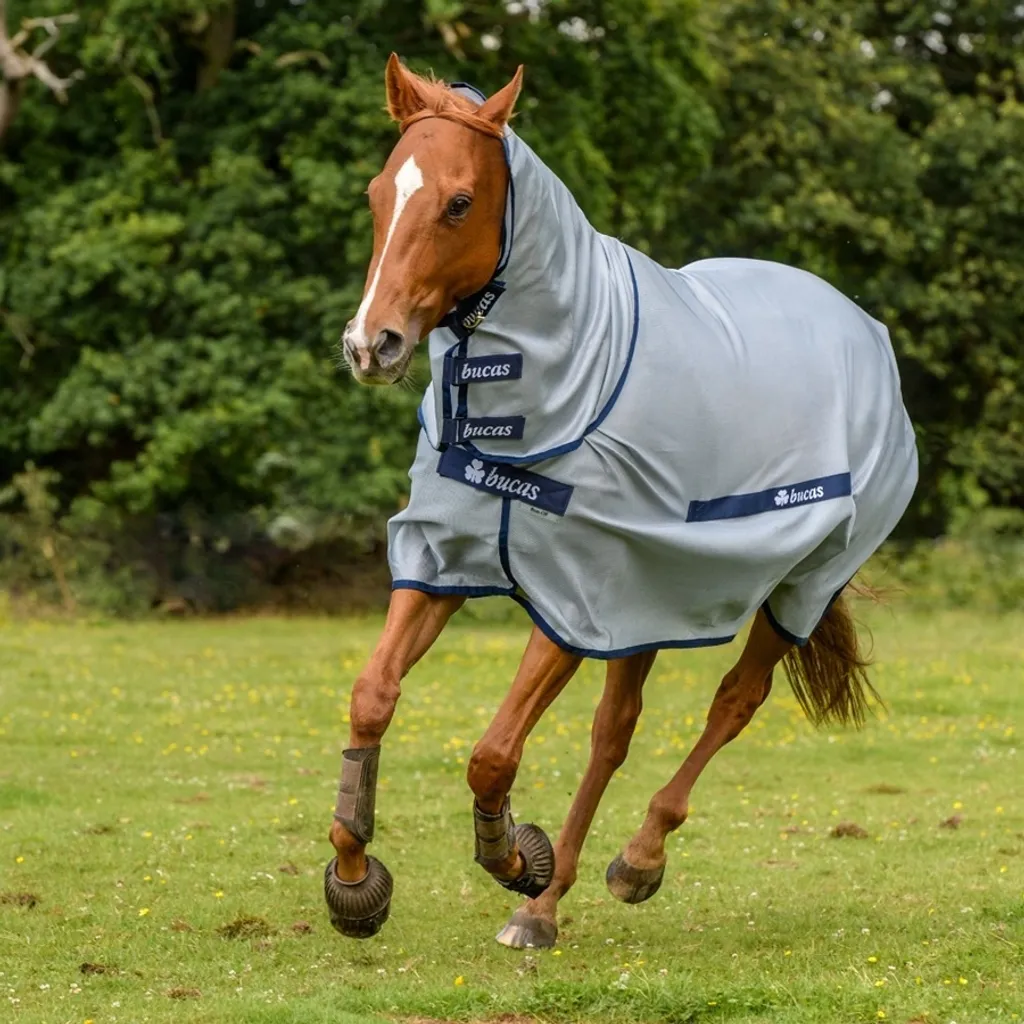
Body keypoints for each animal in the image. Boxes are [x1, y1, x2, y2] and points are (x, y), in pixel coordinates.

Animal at [324, 55, 919, 950]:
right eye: (375, 195)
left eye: (459, 202)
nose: (372, 344)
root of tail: (865, 332)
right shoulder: (444, 563)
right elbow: (372, 697)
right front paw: (355, 879)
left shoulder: (571, 595)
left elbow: (492, 754)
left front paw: (512, 855)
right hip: (648, 598)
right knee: (615, 731)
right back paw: (543, 909)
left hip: (797, 586)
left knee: (734, 703)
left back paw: (634, 861)